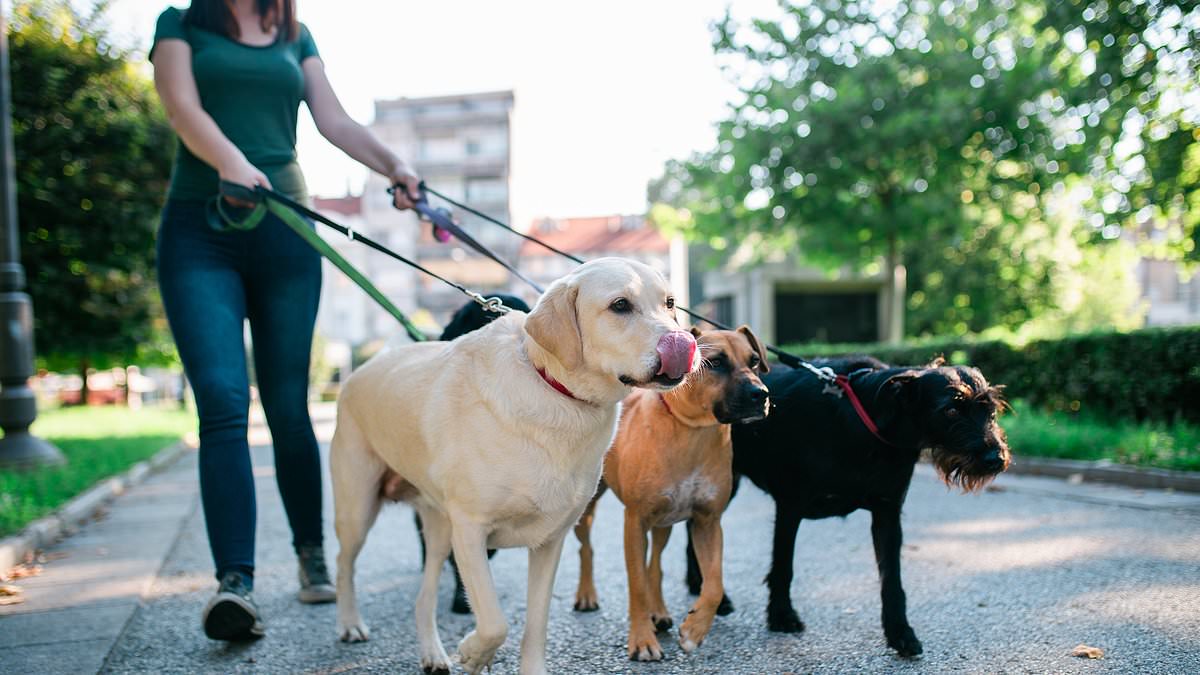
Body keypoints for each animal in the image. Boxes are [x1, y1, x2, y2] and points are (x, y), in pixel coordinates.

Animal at [571, 324, 768, 658]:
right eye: (716, 362)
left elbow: (713, 584)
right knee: (587, 549)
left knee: (656, 565)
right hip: (588, 510)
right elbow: (636, 584)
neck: (692, 431)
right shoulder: (634, 521)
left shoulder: (707, 521)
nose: (761, 394)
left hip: (664, 521)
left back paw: (659, 612)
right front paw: (642, 640)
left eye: (754, 360)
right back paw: (587, 595)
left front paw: (694, 630)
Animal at [681, 355, 1008, 653]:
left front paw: (900, 632)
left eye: (990, 410)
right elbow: (783, 567)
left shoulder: (888, 514)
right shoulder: (789, 506)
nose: (996, 458)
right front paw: (782, 615)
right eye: (951, 410)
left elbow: (892, 581)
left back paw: (699, 586)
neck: (866, 424)